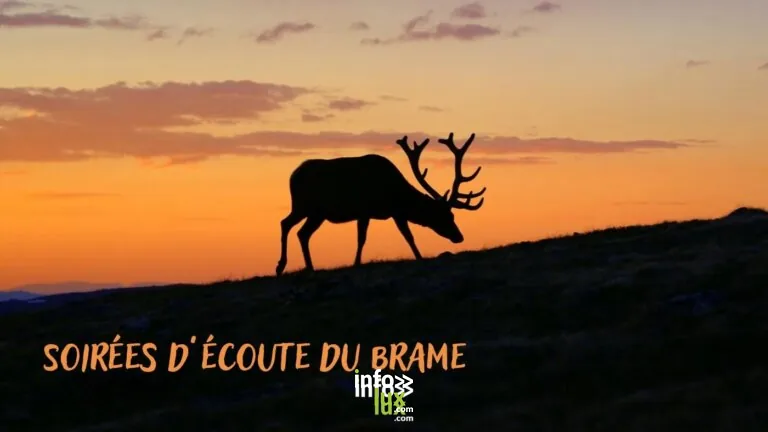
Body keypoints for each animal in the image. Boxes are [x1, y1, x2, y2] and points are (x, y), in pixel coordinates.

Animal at [275, 132, 486, 276]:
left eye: (453, 215)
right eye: (445, 215)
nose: (459, 237)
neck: (394, 194)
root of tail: (293, 175)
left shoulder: (395, 212)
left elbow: (407, 236)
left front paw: (418, 256)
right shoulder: (367, 210)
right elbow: (364, 238)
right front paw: (356, 263)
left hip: (316, 213)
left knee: (301, 232)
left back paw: (309, 267)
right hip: (304, 206)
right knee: (287, 224)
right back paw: (281, 266)